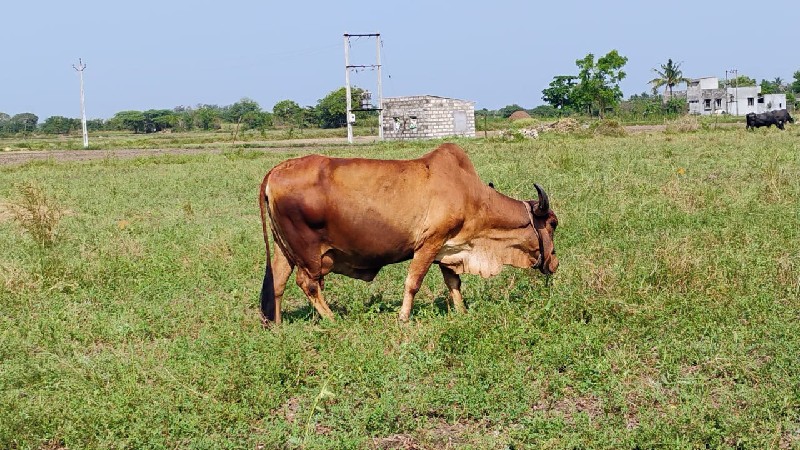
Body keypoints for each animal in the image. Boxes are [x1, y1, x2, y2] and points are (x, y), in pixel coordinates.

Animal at [260, 142, 560, 322]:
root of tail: (276, 170)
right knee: (308, 283)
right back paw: (333, 319)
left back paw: (278, 325)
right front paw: (404, 318)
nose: (555, 262)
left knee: (278, 281)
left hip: (283, 248)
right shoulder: (429, 243)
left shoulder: (448, 248)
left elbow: (454, 283)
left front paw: (462, 312)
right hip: (308, 251)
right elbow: (413, 282)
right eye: (553, 224)